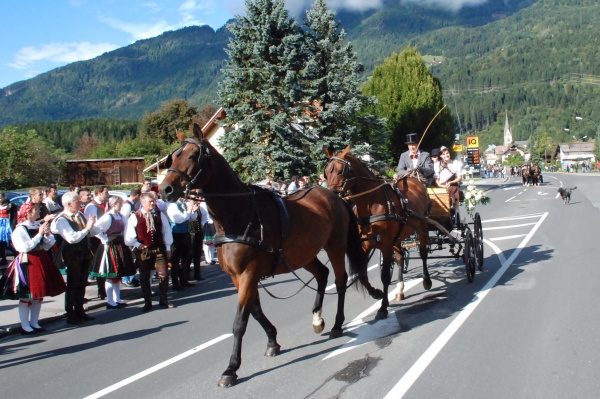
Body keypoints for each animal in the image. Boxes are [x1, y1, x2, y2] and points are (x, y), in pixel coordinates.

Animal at [159, 125, 376, 388]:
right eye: (173, 156)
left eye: (192, 155)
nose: (165, 189)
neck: (240, 214)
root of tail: (335, 196)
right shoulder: (238, 276)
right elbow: (254, 310)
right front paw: (272, 341)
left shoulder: (249, 273)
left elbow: (240, 321)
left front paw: (231, 368)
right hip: (302, 254)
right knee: (322, 274)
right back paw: (317, 319)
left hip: (335, 246)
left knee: (340, 279)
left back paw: (336, 324)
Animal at [324, 145, 432, 320]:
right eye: (326, 172)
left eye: (341, 171)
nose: (332, 197)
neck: (370, 204)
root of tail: (414, 179)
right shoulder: (365, 245)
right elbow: (362, 274)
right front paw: (376, 293)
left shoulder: (385, 244)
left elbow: (385, 276)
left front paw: (383, 307)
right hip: (398, 237)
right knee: (400, 257)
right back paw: (400, 289)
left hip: (422, 227)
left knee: (423, 253)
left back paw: (427, 280)